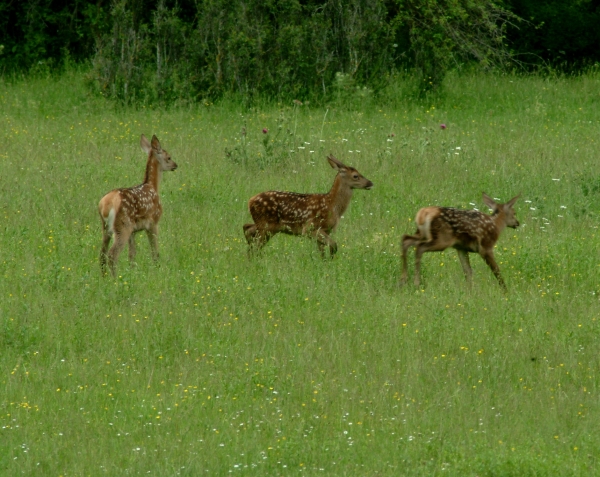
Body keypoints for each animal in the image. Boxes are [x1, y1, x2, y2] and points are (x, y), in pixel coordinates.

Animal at [97, 134, 177, 276]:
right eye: (169, 157)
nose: (175, 165)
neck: (153, 187)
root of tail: (106, 204)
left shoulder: (134, 231)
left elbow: (132, 254)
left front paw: (133, 272)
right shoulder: (153, 222)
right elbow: (154, 251)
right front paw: (157, 269)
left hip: (106, 227)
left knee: (102, 253)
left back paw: (104, 277)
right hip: (122, 225)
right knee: (112, 254)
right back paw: (114, 278)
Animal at [243, 154, 372, 256]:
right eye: (356, 176)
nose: (370, 183)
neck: (332, 206)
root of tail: (250, 200)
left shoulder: (325, 230)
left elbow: (323, 251)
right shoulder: (310, 228)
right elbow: (334, 245)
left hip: (267, 226)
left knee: (247, 228)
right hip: (266, 225)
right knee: (254, 242)